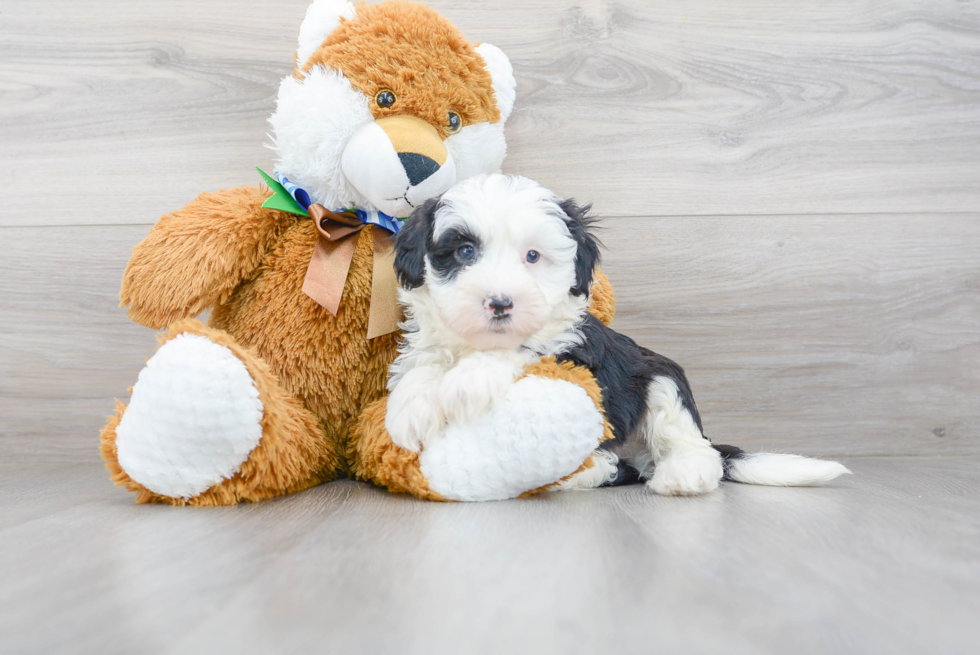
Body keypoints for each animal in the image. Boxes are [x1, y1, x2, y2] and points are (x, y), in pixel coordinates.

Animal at [382, 174, 848, 498]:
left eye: (533, 256)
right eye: (464, 252)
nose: (500, 303)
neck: (477, 342)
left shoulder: (576, 348)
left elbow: (528, 344)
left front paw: (466, 381)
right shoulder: (433, 341)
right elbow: (424, 364)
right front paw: (409, 409)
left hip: (660, 379)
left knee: (693, 445)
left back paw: (682, 474)